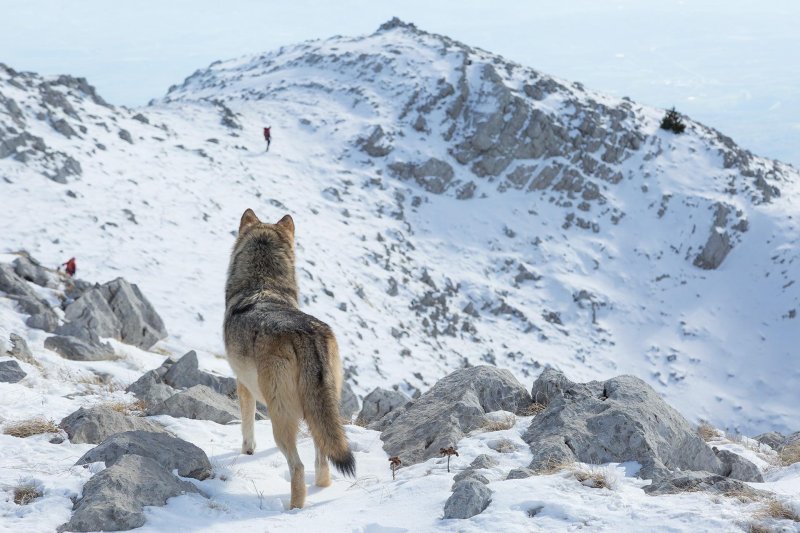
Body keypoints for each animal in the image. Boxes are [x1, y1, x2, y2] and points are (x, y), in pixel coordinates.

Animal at [220, 208, 354, 508]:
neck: (262, 284)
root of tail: (308, 334)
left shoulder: (242, 384)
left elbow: (247, 425)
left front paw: (247, 451)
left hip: (279, 413)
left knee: (298, 466)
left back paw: (293, 508)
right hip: (321, 409)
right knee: (322, 458)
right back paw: (321, 490)